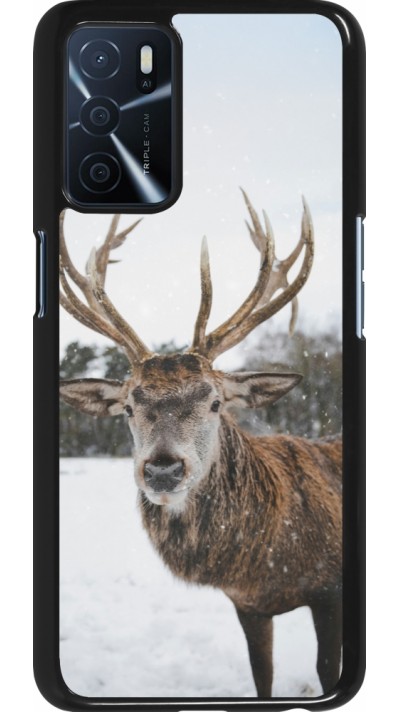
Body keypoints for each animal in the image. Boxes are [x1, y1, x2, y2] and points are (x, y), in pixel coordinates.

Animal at [59, 191, 342, 698]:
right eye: (128, 407)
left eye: (214, 402)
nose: (162, 469)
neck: (267, 564)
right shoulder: (248, 605)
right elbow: (262, 675)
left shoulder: (331, 590)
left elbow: (327, 672)